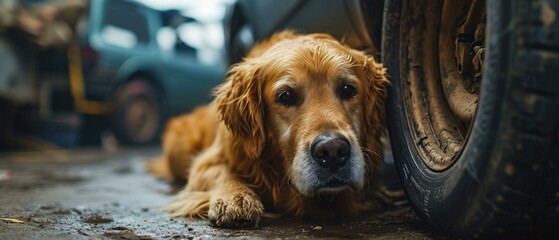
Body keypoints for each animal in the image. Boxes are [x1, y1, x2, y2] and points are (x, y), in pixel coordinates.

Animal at [151, 31, 392, 228]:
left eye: (347, 89)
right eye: (285, 96)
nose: (332, 150)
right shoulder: (207, 161)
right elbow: (220, 171)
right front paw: (236, 198)